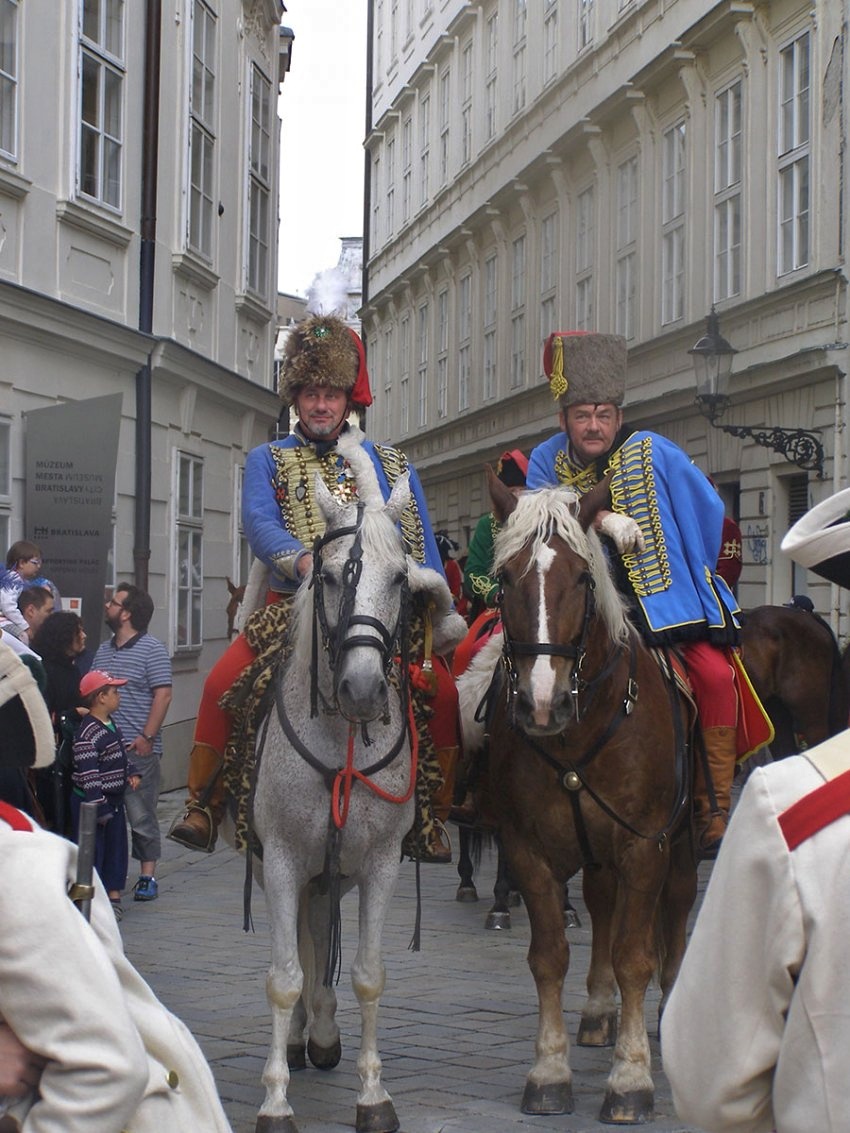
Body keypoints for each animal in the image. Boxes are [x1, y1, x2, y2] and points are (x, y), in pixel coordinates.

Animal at [249, 432, 462, 1133]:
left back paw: (321, 1034)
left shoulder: (378, 864)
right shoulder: (283, 859)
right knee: (304, 940)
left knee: (319, 932)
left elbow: (367, 973)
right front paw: (275, 1102)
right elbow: (283, 975)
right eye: (330, 574)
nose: (363, 689)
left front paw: (374, 1096)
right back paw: (301, 1038)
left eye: (399, 578)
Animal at [466, 469, 698, 1123]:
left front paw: (631, 1079)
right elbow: (550, 955)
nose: (541, 704)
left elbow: (635, 957)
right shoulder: (528, 850)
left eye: (582, 577)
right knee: (599, 906)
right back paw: (597, 1011)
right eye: (506, 578)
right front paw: (549, 1069)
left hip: (683, 839)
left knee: (674, 910)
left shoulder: (645, 845)